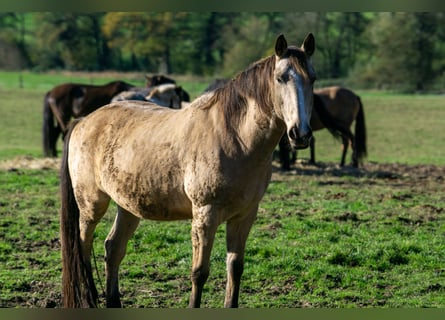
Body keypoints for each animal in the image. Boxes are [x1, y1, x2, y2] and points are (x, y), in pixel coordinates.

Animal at [59, 32, 316, 308]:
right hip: (91, 205)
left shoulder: (245, 215)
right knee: (83, 250)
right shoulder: (205, 215)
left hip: (128, 206)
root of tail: (83, 121)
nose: (300, 134)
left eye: (312, 78)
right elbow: (199, 272)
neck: (235, 138)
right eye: (281, 78)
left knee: (113, 249)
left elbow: (235, 268)